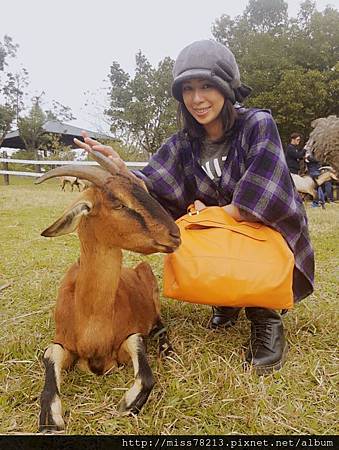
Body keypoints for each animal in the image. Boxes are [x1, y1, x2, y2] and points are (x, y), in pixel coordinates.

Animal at [35, 150, 182, 432]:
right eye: (120, 204)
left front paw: (128, 404)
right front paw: (51, 419)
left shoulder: (126, 341)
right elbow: (50, 354)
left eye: (144, 189)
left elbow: (141, 354)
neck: (92, 316)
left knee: (160, 326)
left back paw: (167, 350)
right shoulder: (63, 344)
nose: (175, 235)